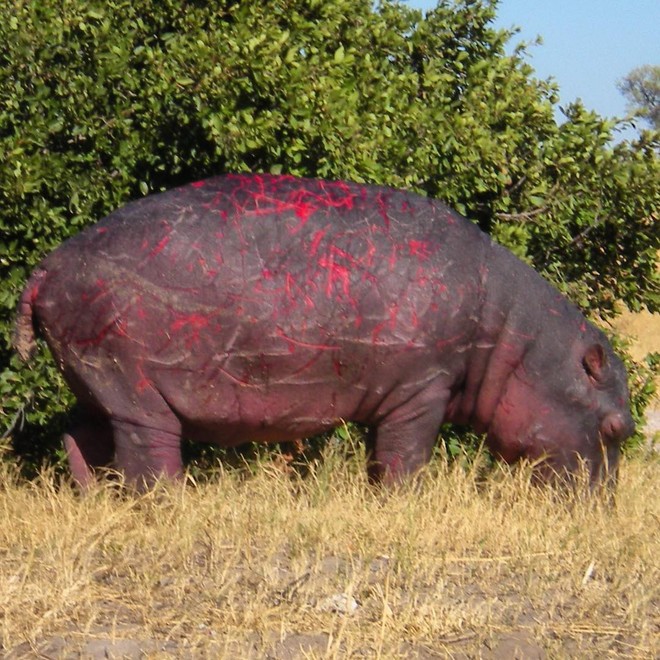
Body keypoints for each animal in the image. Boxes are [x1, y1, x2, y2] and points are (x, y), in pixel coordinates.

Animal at [12, 175, 636, 490]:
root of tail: (46, 267)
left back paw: (94, 499)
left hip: (96, 381)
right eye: (618, 429)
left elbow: (382, 456)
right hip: (134, 385)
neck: (518, 341)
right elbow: (406, 457)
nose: (601, 510)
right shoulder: (422, 388)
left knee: (81, 438)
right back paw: (167, 503)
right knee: (148, 453)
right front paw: (403, 503)